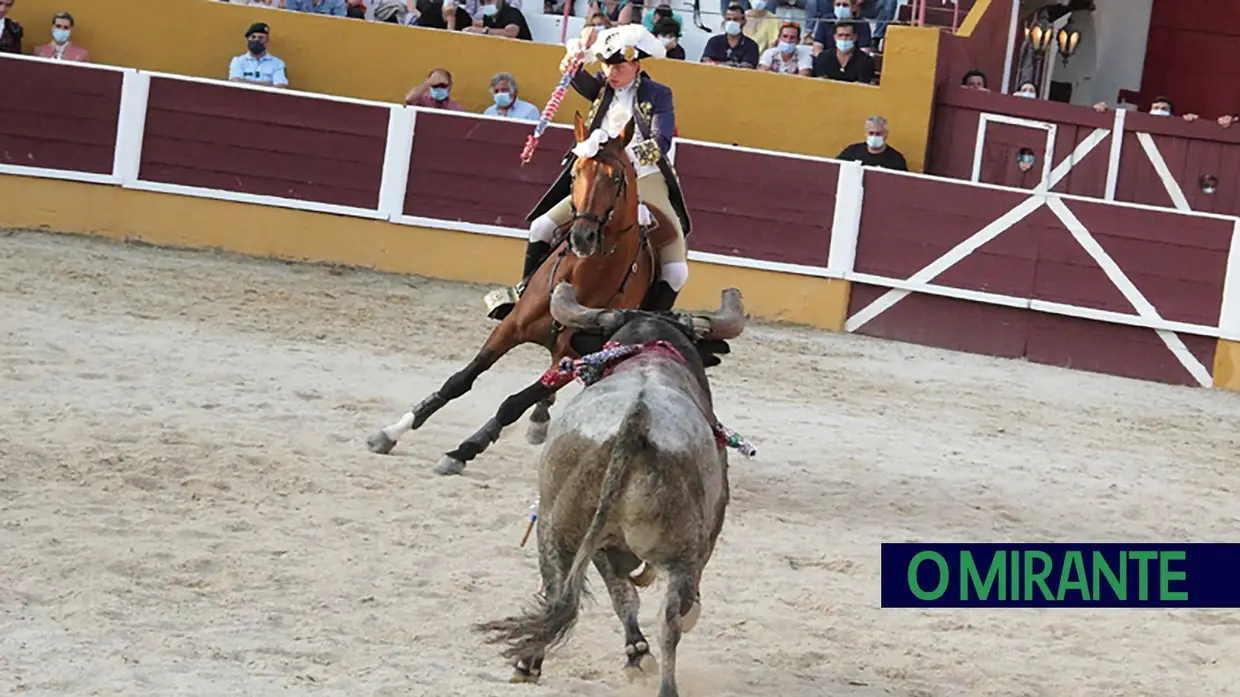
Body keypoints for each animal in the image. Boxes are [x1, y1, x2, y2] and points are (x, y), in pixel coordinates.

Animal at [369, 110, 679, 473]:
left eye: (616, 177)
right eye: (575, 173)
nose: (582, 237)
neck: (581, 280)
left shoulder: (576, 352)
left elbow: (512, 404)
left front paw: (463, 451)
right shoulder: (510, 328)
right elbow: (460, 380)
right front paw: (392, 431)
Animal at [473, 280, 744, 694]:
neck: (647, 353)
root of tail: (636, 419)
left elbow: (622, 595)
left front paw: (636, 653)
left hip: (559, 529)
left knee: (563, 592)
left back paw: (530, 662)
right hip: (676, 550)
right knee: (668, 620)